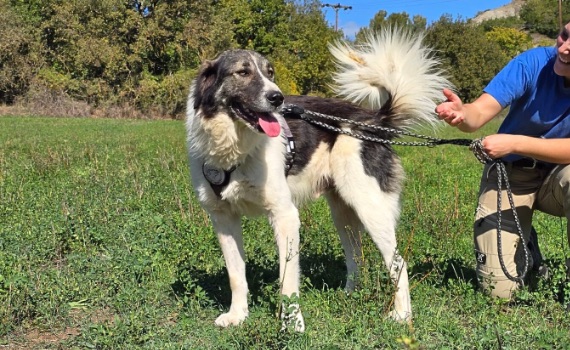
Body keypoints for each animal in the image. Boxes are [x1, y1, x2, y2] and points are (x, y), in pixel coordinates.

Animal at [185, 28, 448, 330]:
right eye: (242, 72)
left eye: (270, 72)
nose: (278, 98)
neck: (234, 148)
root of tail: (374, 120)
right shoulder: (223, 219)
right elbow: (236, 275)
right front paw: (237, 315)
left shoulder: (285, 215)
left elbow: (287, 279)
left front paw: (292, 325)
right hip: (343, 214)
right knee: (356, 257)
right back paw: (349, 295)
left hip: (371, 208)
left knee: (398, 263)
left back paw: (402, 315)